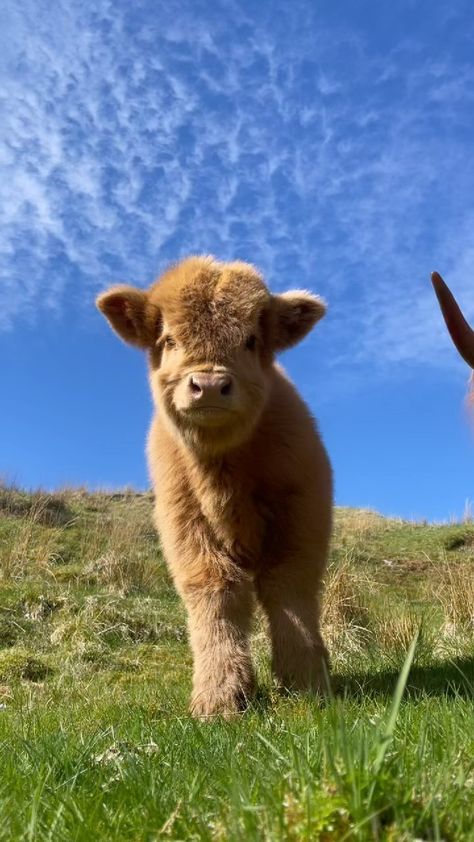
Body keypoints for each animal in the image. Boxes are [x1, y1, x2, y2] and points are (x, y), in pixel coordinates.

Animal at [97, 256, 334, 716]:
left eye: (251, 340)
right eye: (169, 340)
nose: (208, 386)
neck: (223, 478)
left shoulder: (302, 511)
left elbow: (288, 589)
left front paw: (305, 679)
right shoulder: (186, 526)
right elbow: (216, 594)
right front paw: (220, 695)